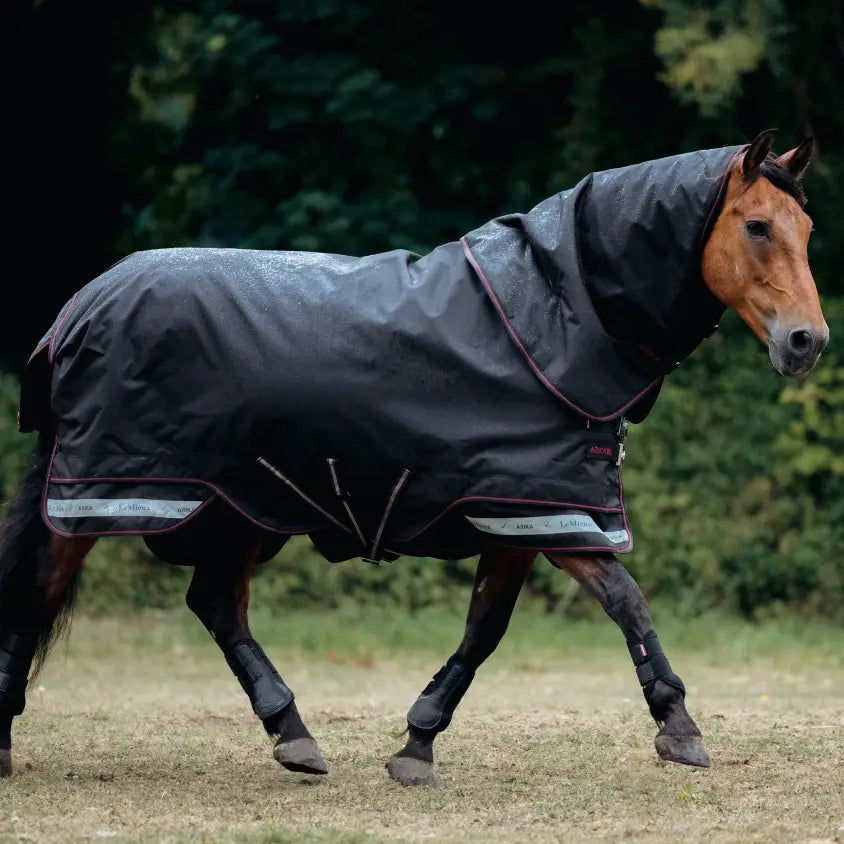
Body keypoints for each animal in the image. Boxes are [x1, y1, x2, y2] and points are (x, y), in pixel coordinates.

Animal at [0, 129, 827, 787]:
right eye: (757, 225)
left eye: (808, 228)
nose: (806, 341)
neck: (554, 320)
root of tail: (77, 310)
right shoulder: (545, 513)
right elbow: (626, 599)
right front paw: (678, 727)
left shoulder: (522, 518)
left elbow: (485, 631)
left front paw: (417, 744)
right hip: (100, 496)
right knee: (39, 593)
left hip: (243, 506)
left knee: (214, 604)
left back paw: (294, 736)